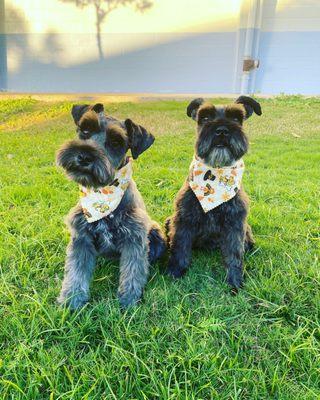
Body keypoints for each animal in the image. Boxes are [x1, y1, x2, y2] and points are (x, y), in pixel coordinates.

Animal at [56, 104, 166, 310]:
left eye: (116, 142)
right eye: (85, 130)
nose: (84, 156)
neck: (103, 198)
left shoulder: (134, 239)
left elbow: (132, 272)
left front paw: (129, 302)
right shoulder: (81, 238)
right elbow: (75, 272)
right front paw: (71, 301)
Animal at [166, 97, 262, 290]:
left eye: (236, 118)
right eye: (204, 117)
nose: (222, 131)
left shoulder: (235, 225)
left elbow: (234, 255)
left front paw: (235, 282)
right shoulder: (183, 221)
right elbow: (180, 248)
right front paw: (175, 272)